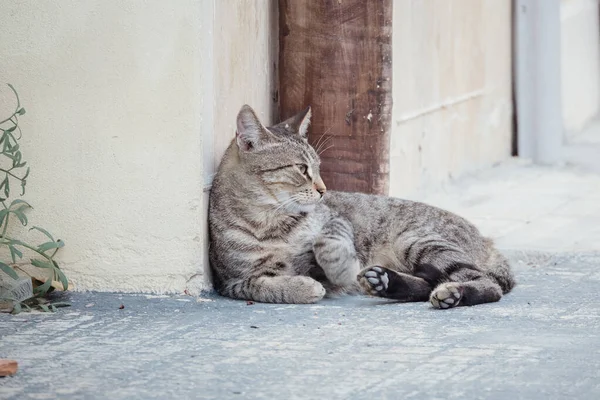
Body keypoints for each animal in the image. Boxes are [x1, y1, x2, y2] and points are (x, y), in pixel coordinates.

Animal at [209, 104, 512, 308]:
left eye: (318, 167)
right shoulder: (231, 281)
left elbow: (326, 242)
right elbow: (260, 284)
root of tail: (487, 242)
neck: (270, 223)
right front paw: (303, 287)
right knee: (428, 283)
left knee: (488, 284)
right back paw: (386, 282)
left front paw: (340, 268)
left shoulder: (336, 219)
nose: (323, 190)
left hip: (417, 240)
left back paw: (452, 293)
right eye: (302, 169)